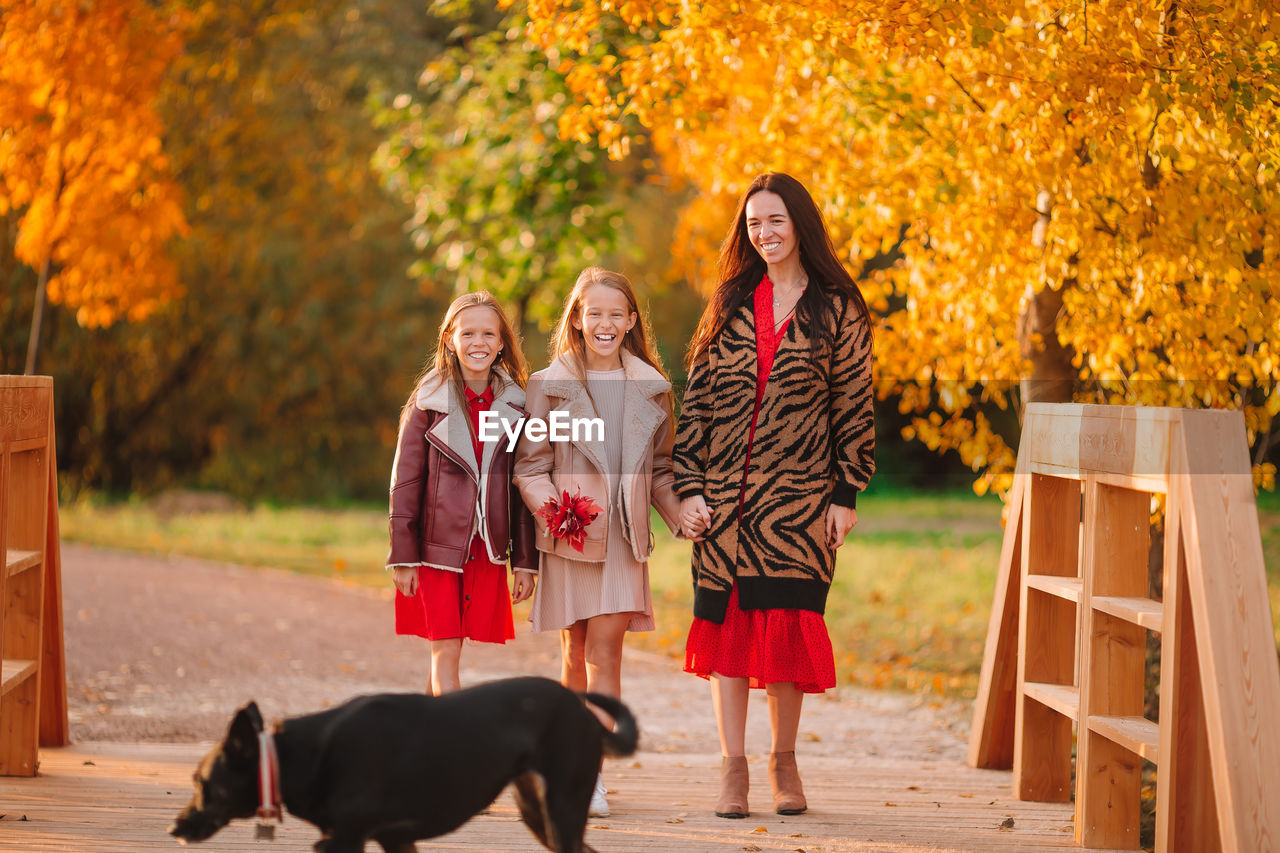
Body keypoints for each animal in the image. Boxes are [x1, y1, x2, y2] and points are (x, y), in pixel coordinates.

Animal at [172, 676, 637, 845]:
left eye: (200, 783)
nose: (174, 828)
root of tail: (580, 709)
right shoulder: (394, 840)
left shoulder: (344, 841)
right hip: (538, 815)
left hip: (561, 813)